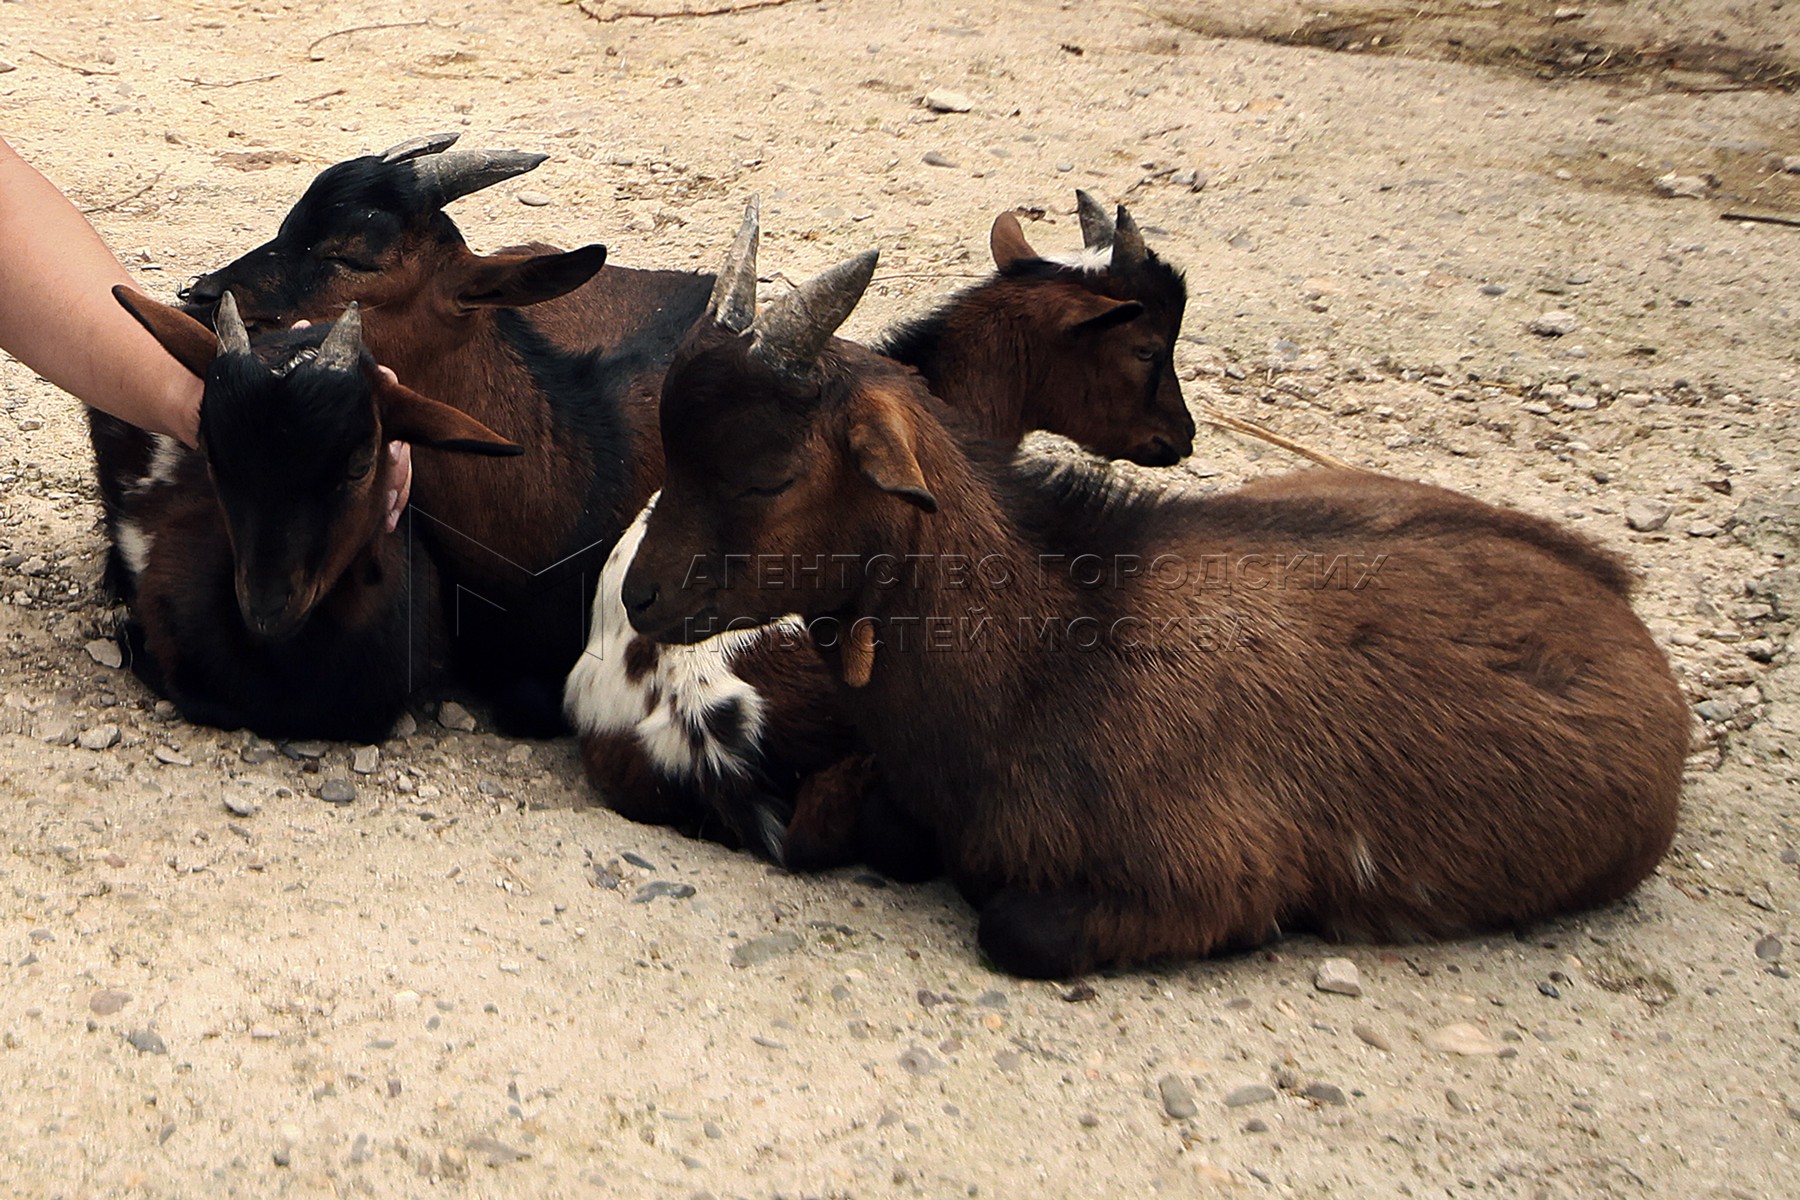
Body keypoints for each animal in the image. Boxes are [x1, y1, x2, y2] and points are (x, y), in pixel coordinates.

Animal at [626, 241, 1692, 978]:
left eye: (769, 476)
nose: (638, 594)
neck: (1054, 655)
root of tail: (1613, 586)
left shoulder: (1206, 870)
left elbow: (1019, 928)